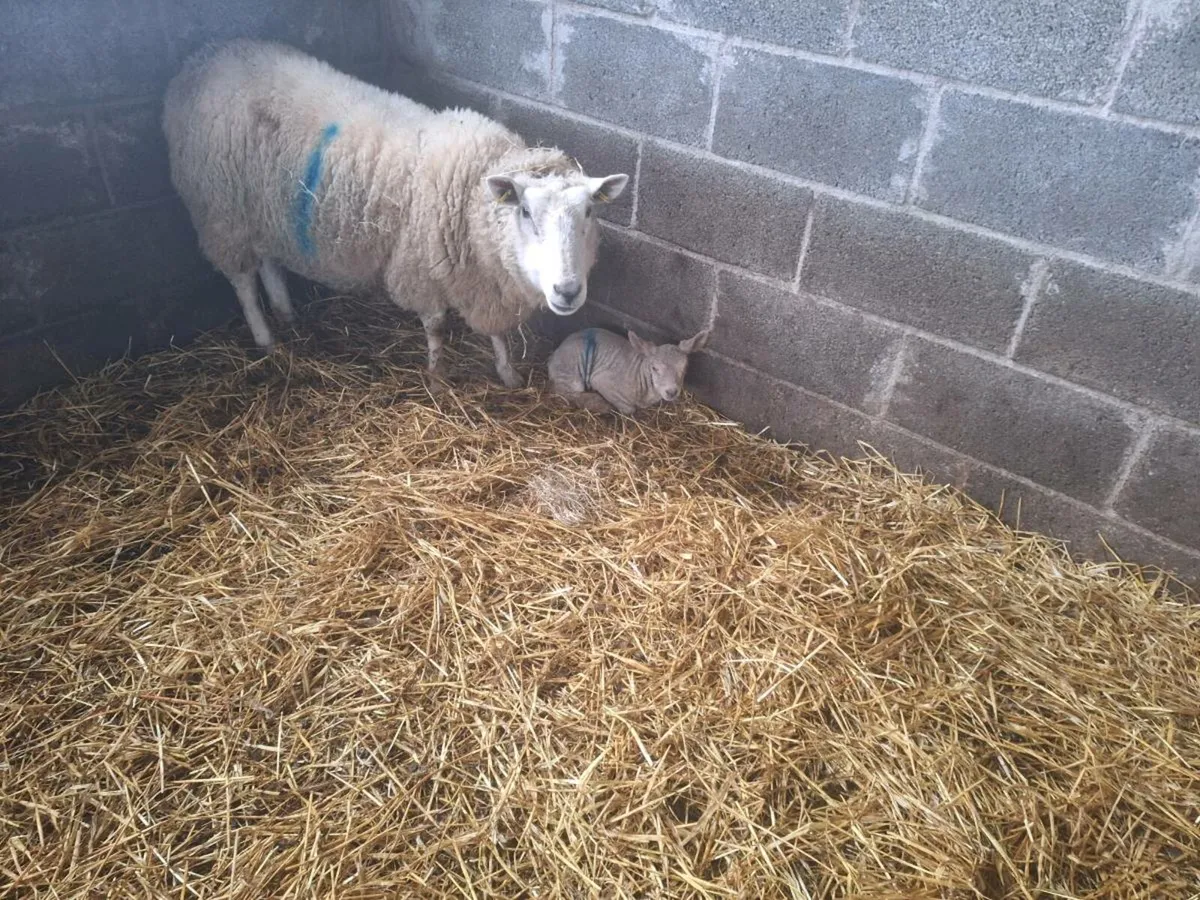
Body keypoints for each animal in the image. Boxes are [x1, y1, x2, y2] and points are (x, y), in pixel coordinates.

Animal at [162, 39, 628, 388]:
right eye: (526, 212)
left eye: (589, 211)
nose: (567, 291)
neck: (470, 195)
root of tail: (204, 58)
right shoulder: (420, 268)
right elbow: (436, 327)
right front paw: (438, 376)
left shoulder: (484, 280)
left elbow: (497, 333)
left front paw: (507, 373)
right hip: (219, 210)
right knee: (242, 279)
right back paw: (265, 338)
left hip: (264, 211)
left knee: (269, 262)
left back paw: (286, 313)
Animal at [547, 326, 710, 415]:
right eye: (654, 368)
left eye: (685, 367)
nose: (671, 392)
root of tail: (553, 356)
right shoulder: (601, 380)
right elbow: (629, 409)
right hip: (570, 367)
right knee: (565, 392)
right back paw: (598, 404)